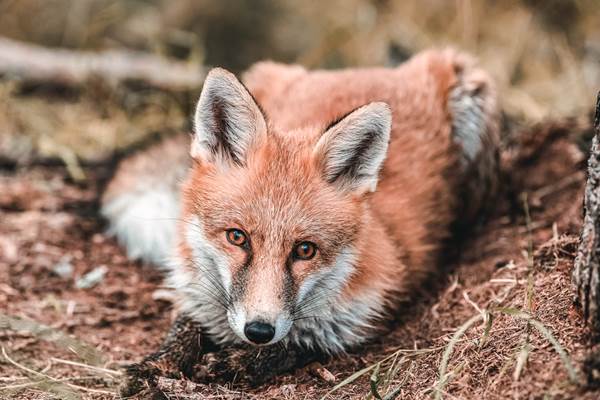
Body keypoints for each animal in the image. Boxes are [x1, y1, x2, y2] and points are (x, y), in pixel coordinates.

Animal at [102, 48, 496, 390]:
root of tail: (371, 68)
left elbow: (302, 340)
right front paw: (158, 363)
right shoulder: (196, 288)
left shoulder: (368, 312)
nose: (258, 331)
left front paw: (240, 362)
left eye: (305, 250)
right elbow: (186, 323)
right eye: (237, 237)